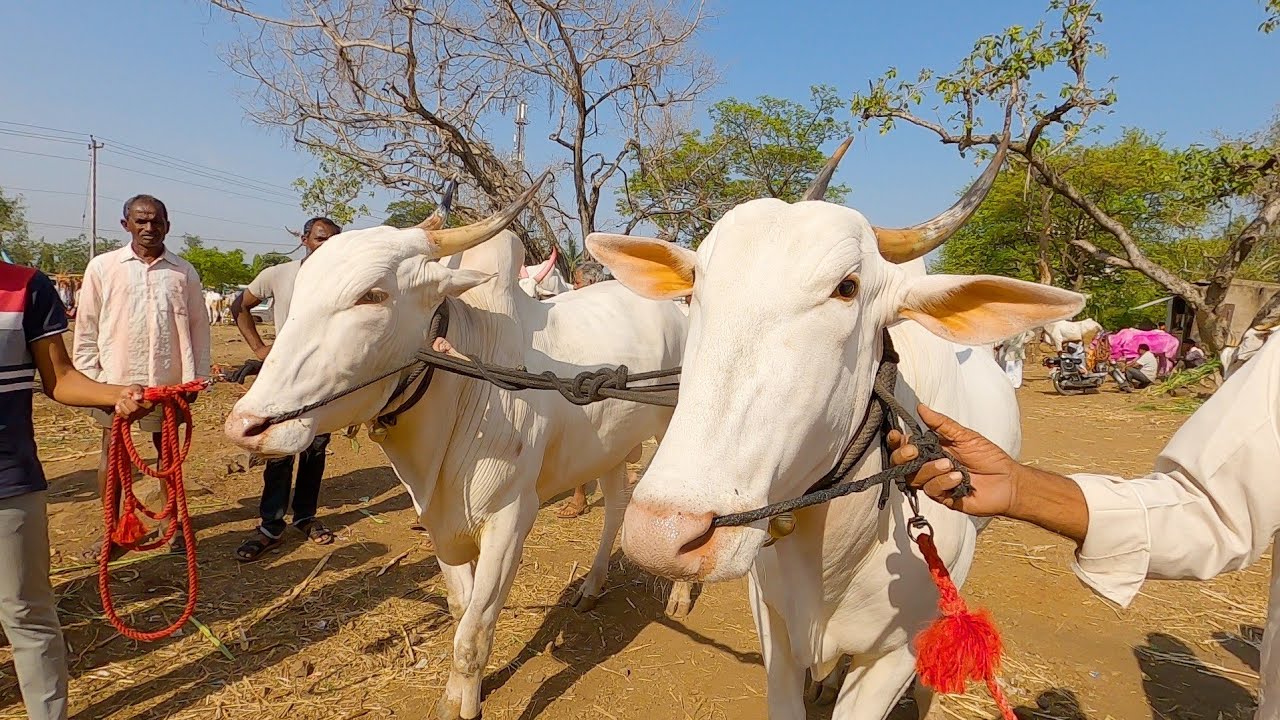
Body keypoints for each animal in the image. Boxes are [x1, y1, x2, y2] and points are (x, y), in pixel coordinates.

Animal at [223, 178, 693, 720]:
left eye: (373, 295)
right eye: (296, 294)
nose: (247, 425)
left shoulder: (510, 519)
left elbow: (473, 633)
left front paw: (464, 703)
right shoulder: (438, 520)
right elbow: (458, 611)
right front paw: (457, 695)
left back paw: (680, 593)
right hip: (612, 445)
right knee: (616, 504)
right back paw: (593, 586)